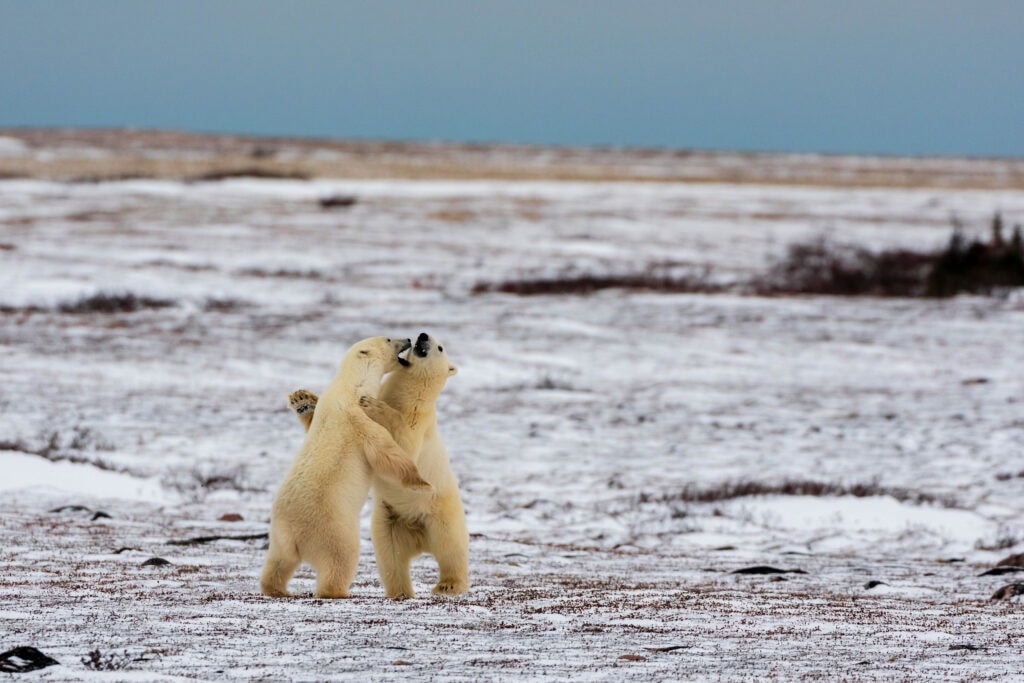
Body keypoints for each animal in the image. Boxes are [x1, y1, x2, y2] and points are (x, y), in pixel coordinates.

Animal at [260, 336, 431, 599]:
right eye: (388, 338)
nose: (409, 339)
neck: (351, 385)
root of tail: (294, 534)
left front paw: (304, 402)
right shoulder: (356, 416)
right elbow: (386, 449)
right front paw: (421, 483)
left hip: (278, 537)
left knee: (278, 563)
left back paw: (276, 589)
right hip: (335, 530)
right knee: (340, 560)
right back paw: (340, 592)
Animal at [287, 332, 468, 599]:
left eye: (440, 347)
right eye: (426, 336)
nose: (422, 335)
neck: (408, 398)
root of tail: (418, 533)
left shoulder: (420, 423)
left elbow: (404, 445)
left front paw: (373, 405)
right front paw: (304, 400)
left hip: (441, 513)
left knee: (451, 548)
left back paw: (449, 584)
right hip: (388, 520)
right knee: (391, 558)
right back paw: (400, 592)